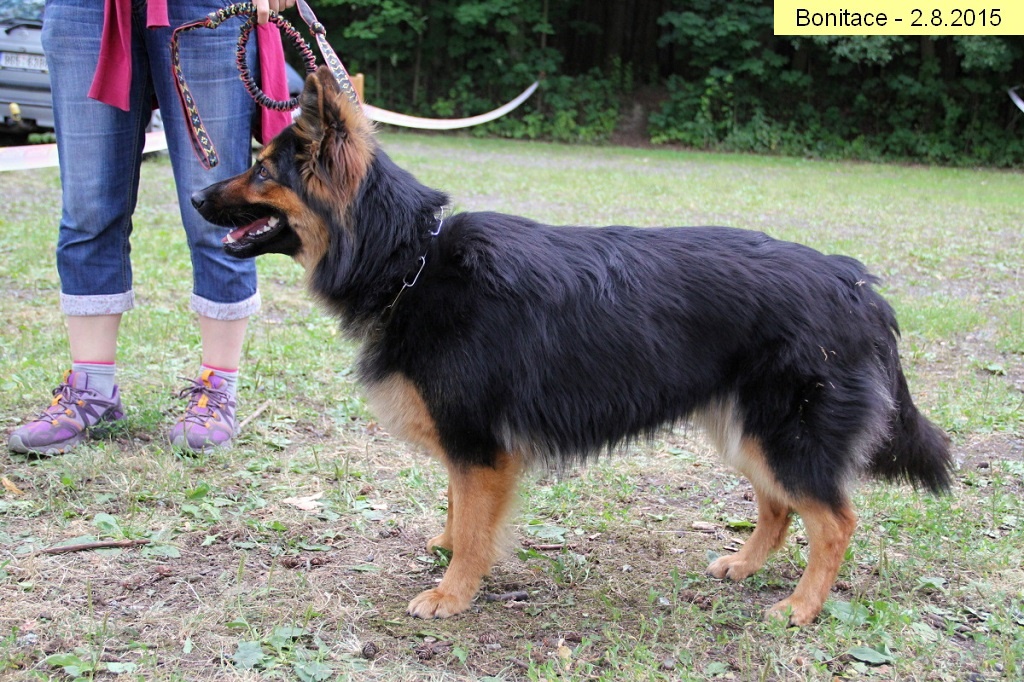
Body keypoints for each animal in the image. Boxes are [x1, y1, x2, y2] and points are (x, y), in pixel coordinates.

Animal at [192, 66, 953, 625]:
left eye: (263, 172)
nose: (196, 199)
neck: (412, 261)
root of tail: (855, 284)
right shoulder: (466, 445)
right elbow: (455, 507)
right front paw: (445, 551)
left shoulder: (480, 448)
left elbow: (475, 526)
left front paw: (453, 591)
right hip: (747, 431)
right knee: (780, 506)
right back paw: (744, 567)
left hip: (783, 435)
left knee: (836, 521)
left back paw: (800, 606)